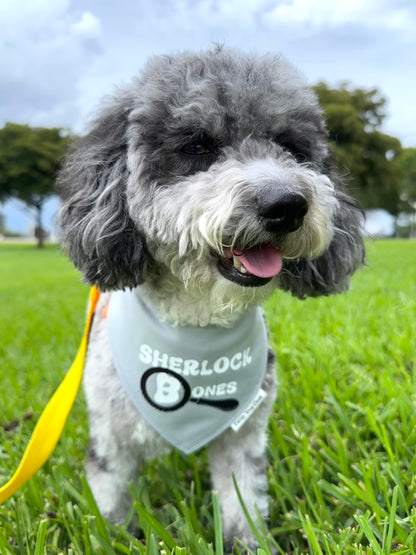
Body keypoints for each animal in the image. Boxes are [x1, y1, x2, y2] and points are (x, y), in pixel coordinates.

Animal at [57, 47, 364, 552]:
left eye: (291, 147)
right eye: (199, 146)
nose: (286, 204)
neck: (194, 329)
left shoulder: (244, 438)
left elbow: (243, 503)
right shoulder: (111, 439)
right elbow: (110, 507)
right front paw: (114, 536)